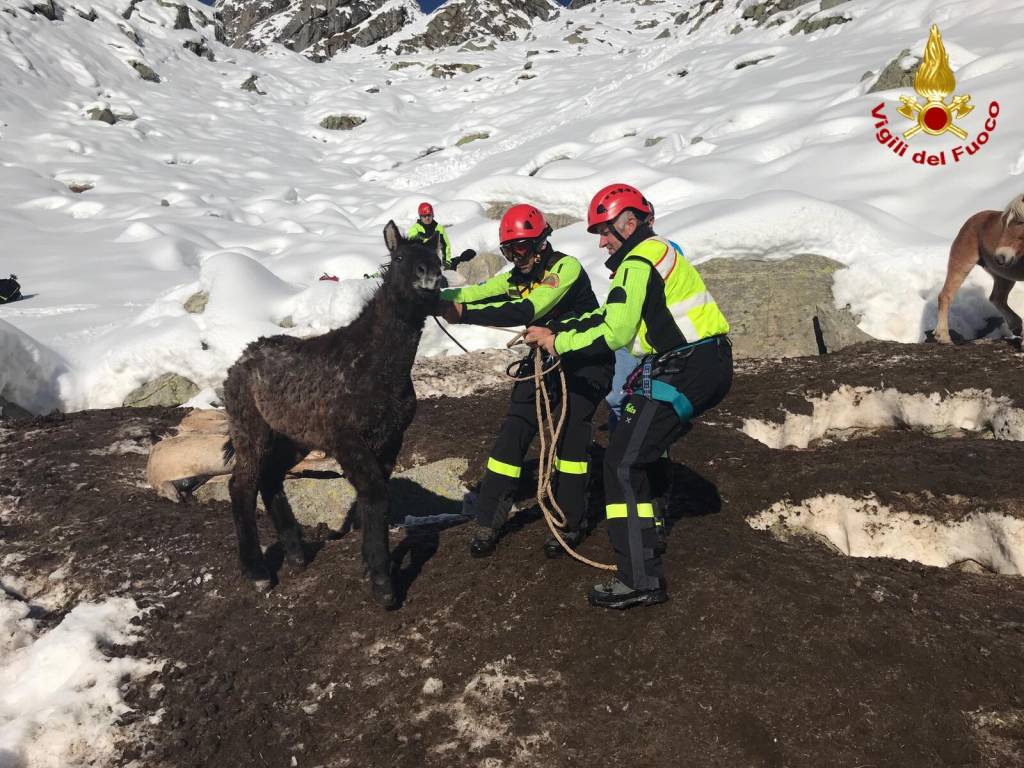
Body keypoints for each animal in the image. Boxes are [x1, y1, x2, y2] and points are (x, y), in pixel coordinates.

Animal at [937, 195, 1024, 346]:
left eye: (1021, 221)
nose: (1000, 257)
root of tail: (973, 218)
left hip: (1004, 278)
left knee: (997, 299)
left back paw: (1017, 327)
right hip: (962, 264)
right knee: (945, 296)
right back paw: (943, 337)